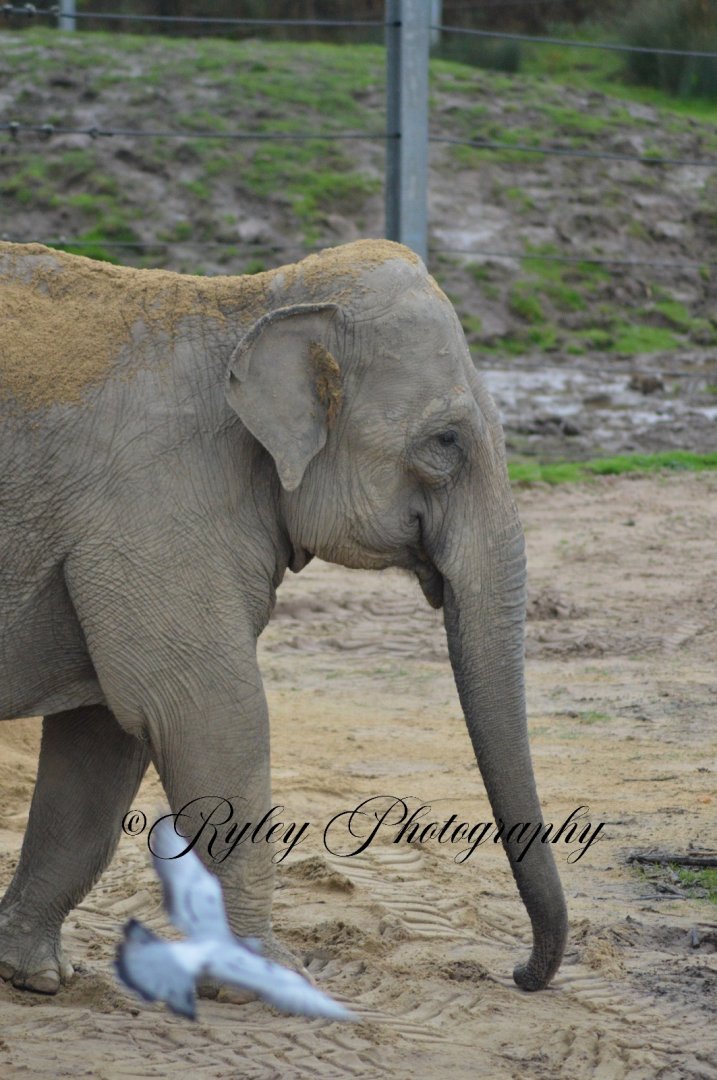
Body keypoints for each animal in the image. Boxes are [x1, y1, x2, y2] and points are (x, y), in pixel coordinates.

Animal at [0, 237, 567, 997]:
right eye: (446, 442)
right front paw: (269, 981)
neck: (254, 299)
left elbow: (104, 736)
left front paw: (36, 976)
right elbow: (208, 712)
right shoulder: (153, 506)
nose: (519, 972)